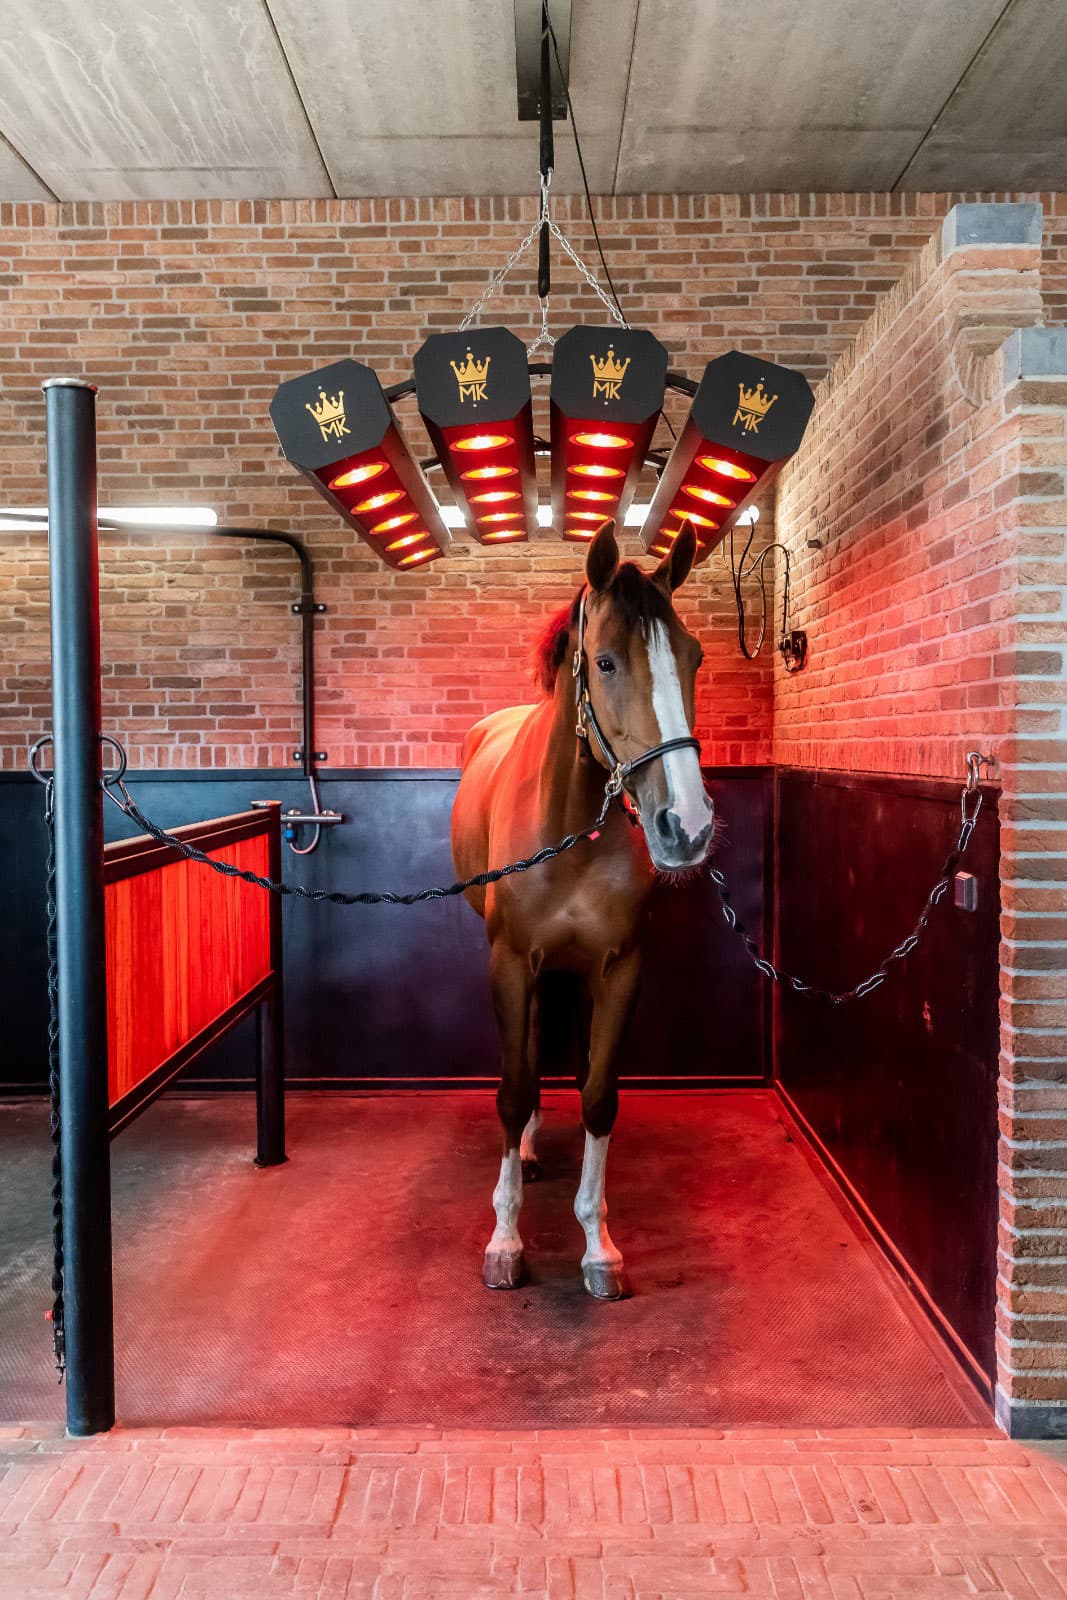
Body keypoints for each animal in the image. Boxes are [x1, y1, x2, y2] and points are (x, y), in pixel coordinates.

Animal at [450, 519, 714, 1299]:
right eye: (603, 661)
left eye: (693, 656)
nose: (686, 826)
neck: (567, 824)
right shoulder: (510, 962)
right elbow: (512, 1090)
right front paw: (505, 1240)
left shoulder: (619, 968)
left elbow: (599, 1096)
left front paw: (598, 1246)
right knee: (531, 1050)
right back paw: (530, 1152)